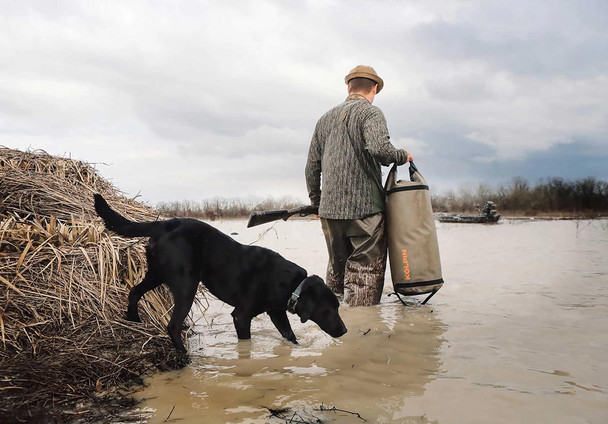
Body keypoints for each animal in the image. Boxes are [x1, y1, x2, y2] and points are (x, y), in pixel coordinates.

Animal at [92, 195, 344, 352]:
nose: (344, 330)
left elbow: (290, 335)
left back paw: (133, 319)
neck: (291, 285)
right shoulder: (241, 316)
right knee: (172, 325)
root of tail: (165, 224)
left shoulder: (276, 312)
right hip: (186, 285)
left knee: (134, 292)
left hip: (157, 274)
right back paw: (185, 358)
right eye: (330, 309)